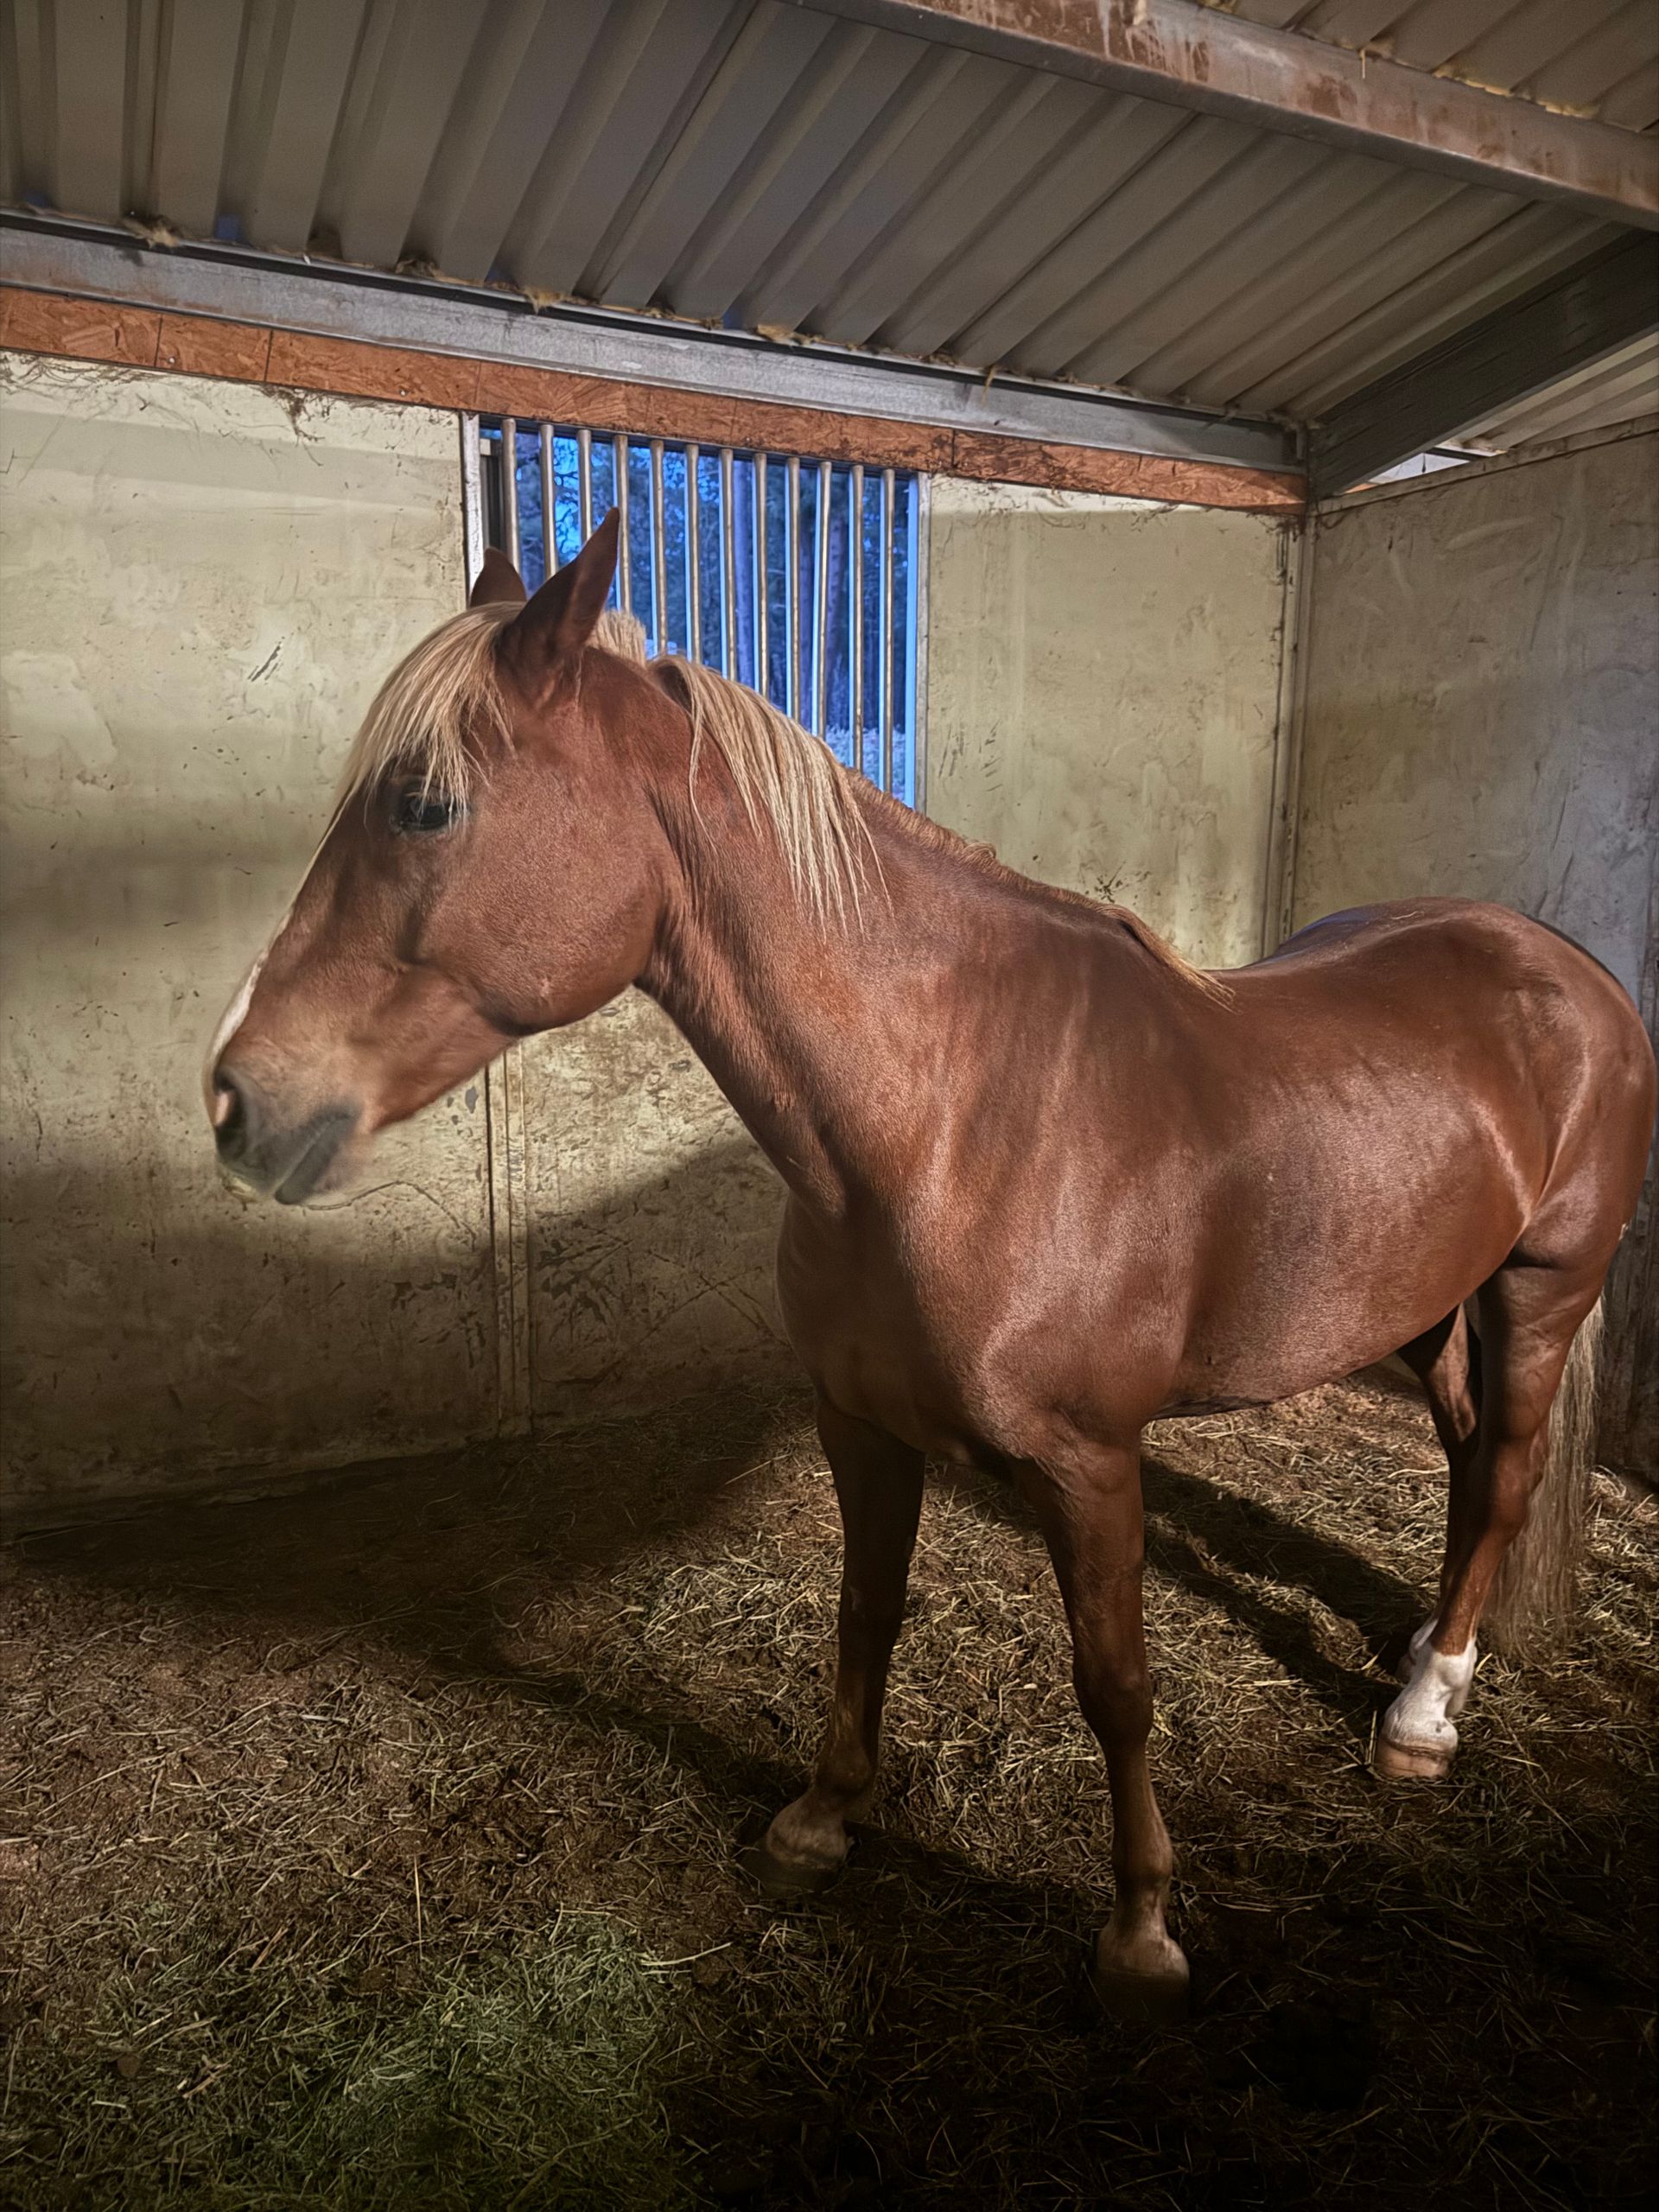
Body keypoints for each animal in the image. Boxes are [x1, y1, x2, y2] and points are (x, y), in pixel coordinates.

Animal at [207, 515, 1656, 2022]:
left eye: (427, 808)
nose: (239, 1104)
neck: (946, 1121)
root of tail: (1566, 967)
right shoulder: (861, 1425)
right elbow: (866, 1614)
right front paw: (821, 1819)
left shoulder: (1092, 1462)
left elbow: (1116, 1682)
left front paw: (1141, 1927)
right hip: (1423, 1302)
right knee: (1467, 1460)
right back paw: (1426, 1664)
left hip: (1541, 1290)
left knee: (1504, 1471)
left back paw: (1422, 1720)